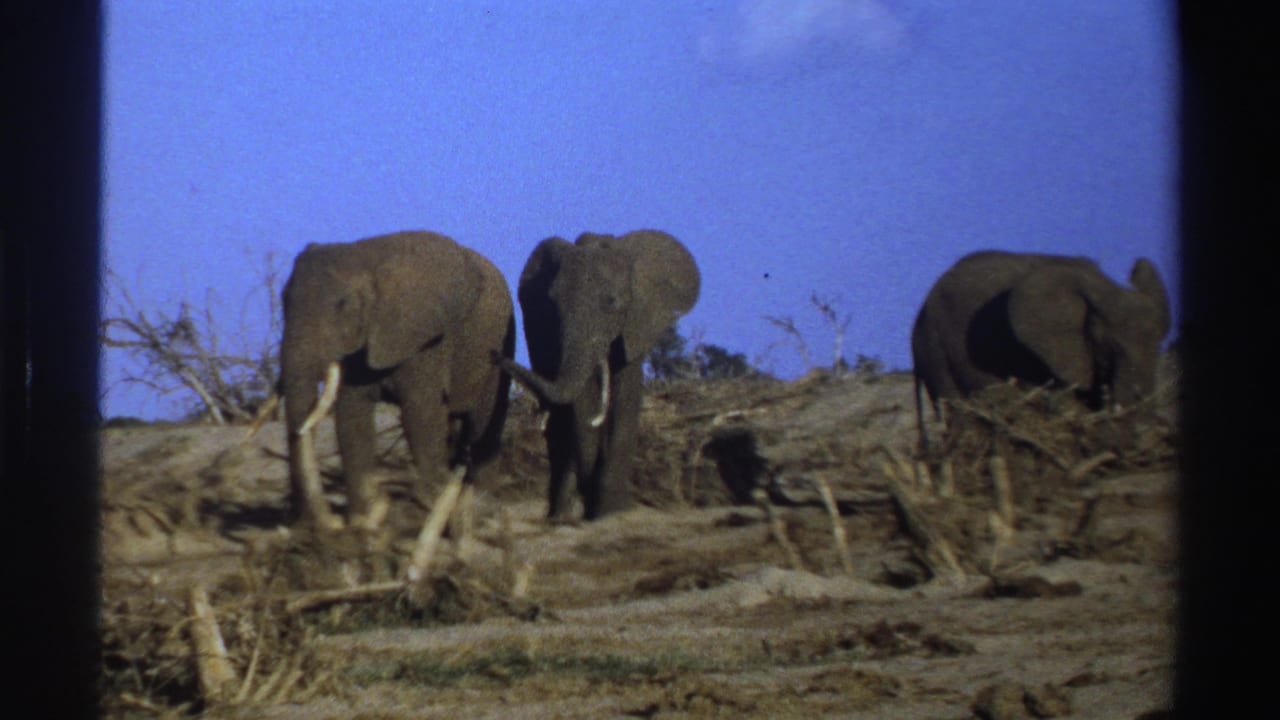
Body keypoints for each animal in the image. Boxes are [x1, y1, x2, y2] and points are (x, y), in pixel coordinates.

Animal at [279, 231, 514, 531]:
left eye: (342, 304)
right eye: (283, 300)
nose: (329, 522)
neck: (366, 259)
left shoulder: (427, 339)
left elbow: (420, 413)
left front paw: (426, 509)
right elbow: (351, 414)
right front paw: (363, 519)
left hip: (501, 342)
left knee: (484, 418)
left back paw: (483, 509)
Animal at [498, 230, 700, 520]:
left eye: (612, 303)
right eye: (552, 303)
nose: (495, 355)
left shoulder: (635, 326)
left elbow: (624, 401)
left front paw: (610, 512)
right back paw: (559, 515)